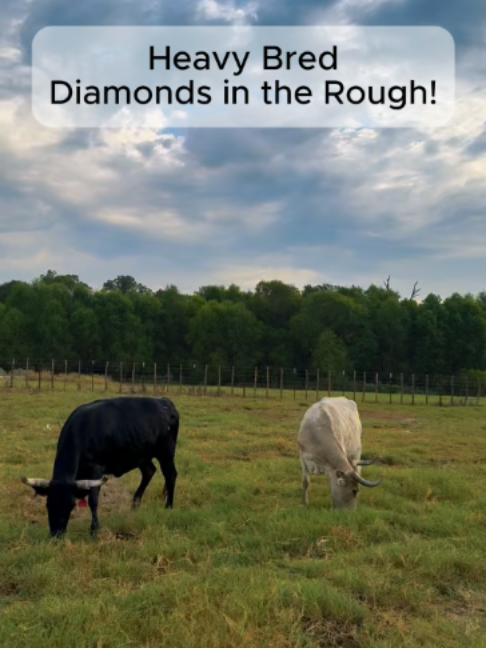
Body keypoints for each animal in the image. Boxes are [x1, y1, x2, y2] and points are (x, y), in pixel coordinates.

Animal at [21, 396, 180, 538]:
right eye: (48, 504)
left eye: (71, 505)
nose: (56, 534)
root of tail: (165, 401)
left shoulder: (96, 469)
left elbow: (93, 501)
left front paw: (94, 530)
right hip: (141, 454)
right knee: (149, 471)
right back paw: (134, 506)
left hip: (166, 452)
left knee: (170, 474)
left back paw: (169, 506)